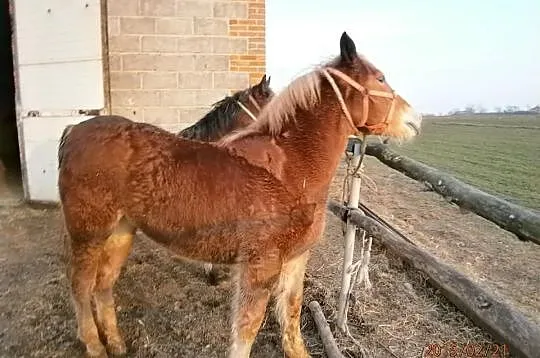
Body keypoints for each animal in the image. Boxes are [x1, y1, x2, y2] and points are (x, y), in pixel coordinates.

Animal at [59, 31, 422, 358]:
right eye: (380, 78)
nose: (416, 119)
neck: (291, 168)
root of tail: (73, 131)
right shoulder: (260, 265)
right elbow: (247, 329)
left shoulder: (296, 260)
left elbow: (291, 315)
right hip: (89, 232)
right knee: (80, 285)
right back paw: (94, 346)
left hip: (120, 231)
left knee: (103, 285)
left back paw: (116, 344)